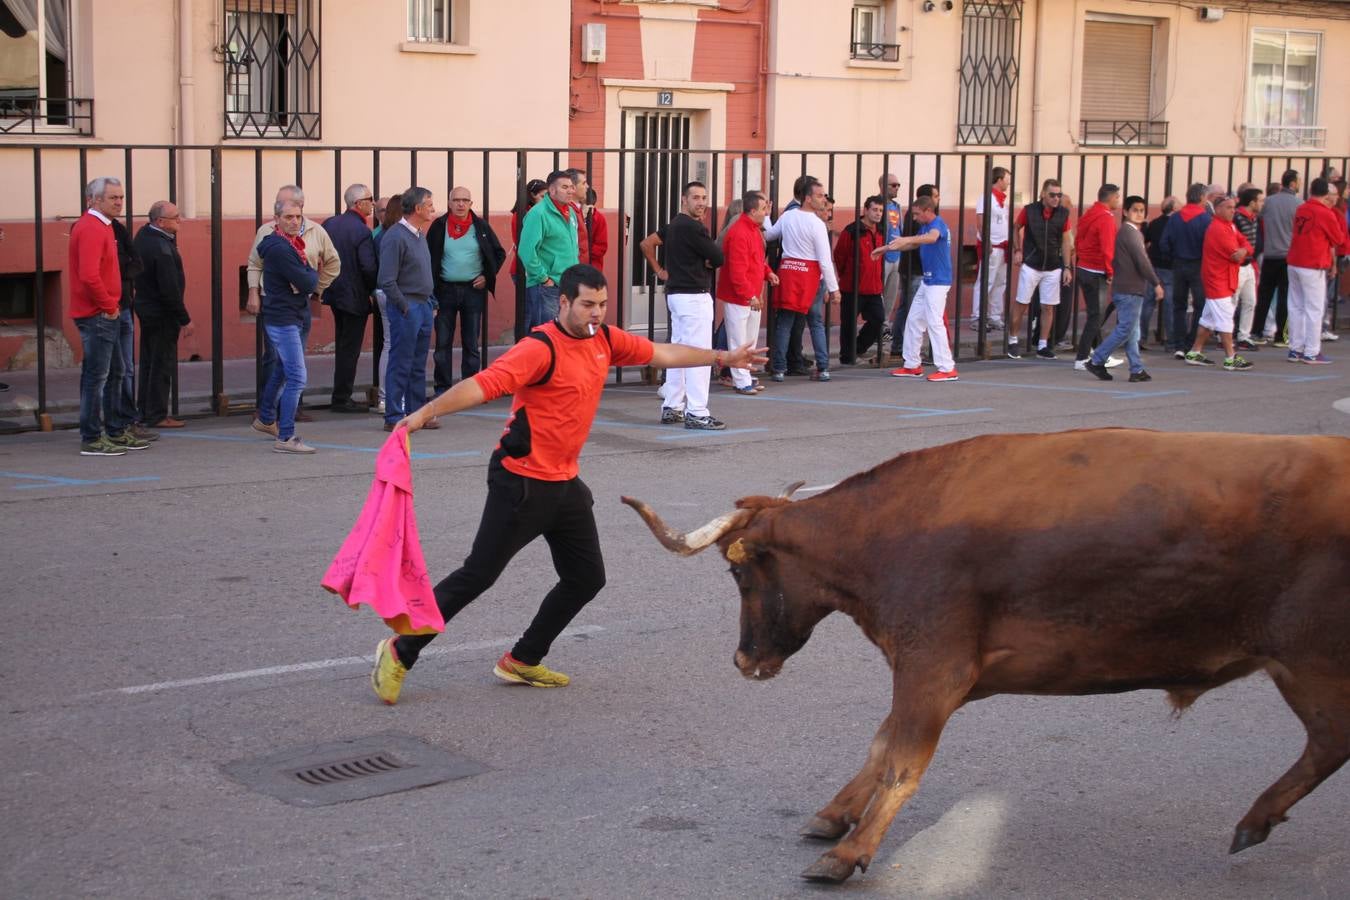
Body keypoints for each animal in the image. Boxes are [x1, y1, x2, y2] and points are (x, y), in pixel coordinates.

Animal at [621, 431, 1350, 885]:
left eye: (739, 573)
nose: (744, 661)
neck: (887, 534)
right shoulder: (945, 673)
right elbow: (880, 744)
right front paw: (835, 815)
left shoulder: (933, 665)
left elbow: (901, 761)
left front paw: (852, 850)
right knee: (1327, 746)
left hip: (1313, 665)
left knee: (1330, 742)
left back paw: (1255, 820)